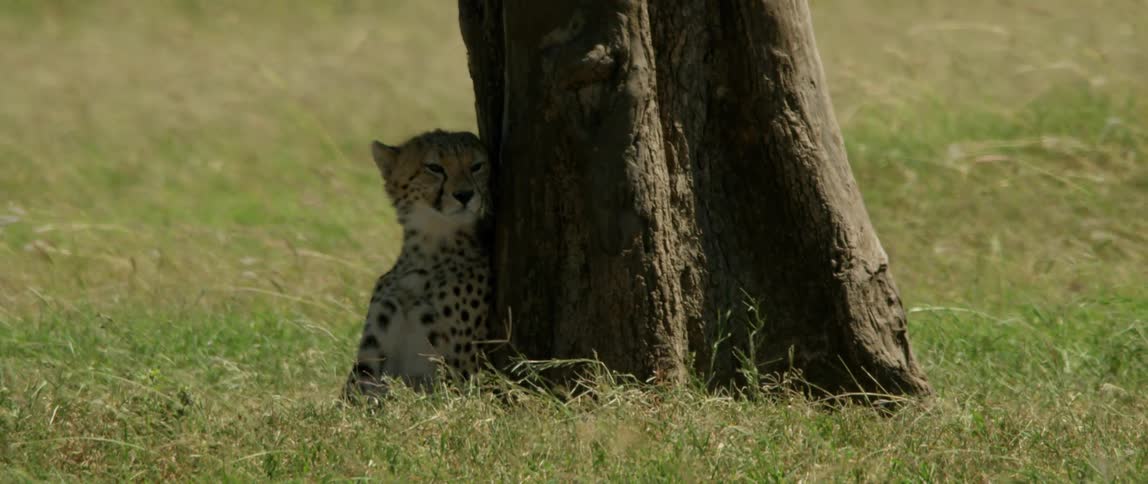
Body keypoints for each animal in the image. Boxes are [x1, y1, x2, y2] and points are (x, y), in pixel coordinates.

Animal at [343, 129, 493, 399]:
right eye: (434, 167)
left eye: (477, 166)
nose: (465, 195)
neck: (429, 245)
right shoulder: (369, 361)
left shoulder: (461, 371)